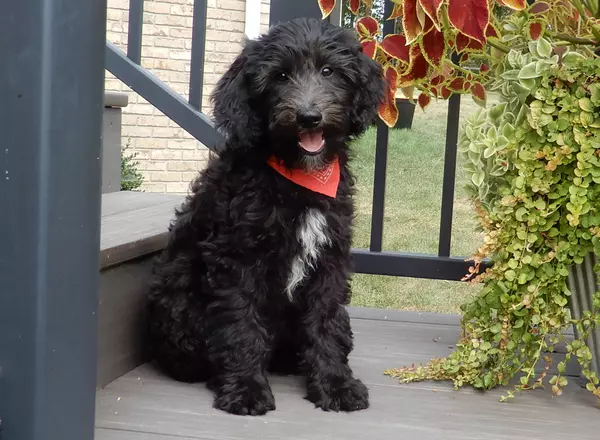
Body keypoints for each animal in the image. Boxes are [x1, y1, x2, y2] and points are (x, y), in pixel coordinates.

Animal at [148, 18, 386, 416]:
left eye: (328, 71)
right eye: (280, 76)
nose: (309, 117)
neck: (298, 178)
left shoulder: (329, 258)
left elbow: (326, 322)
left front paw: (335, 384)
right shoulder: (237, 258)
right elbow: (241, 323)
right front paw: (245, 389)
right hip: (180, 305)